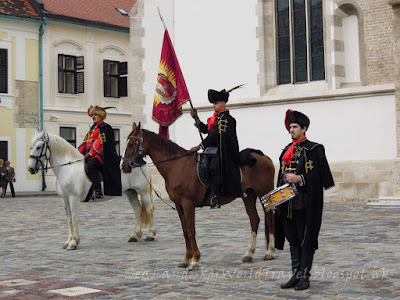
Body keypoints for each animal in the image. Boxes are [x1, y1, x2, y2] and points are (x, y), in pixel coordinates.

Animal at [27, 130, 155, 250]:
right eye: (30, 146)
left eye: (39, 147)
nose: (30, 169)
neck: (67, 168)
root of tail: (140, 161)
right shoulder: (64, 198)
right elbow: (69, 219)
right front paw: (68, 241)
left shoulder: (73, 198)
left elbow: (74, 218)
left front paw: (74, 242)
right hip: (131, 192)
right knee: (137, 211)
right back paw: (135, 235)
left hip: (143, 192)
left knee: (149, 210)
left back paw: (151, 234)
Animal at [123, 123, 276, 270]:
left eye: (131, 144)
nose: (124, 166)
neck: (176, 165)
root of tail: (265, 157)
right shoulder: (179, 205)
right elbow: (185, 231)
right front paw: (186, 259)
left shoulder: (188, 204)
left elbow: (191, 231)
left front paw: (195, 260)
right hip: (248, 196)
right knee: (254, 220)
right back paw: (250, 253)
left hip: (265, 194)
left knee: (269, 219)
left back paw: (270, 252)